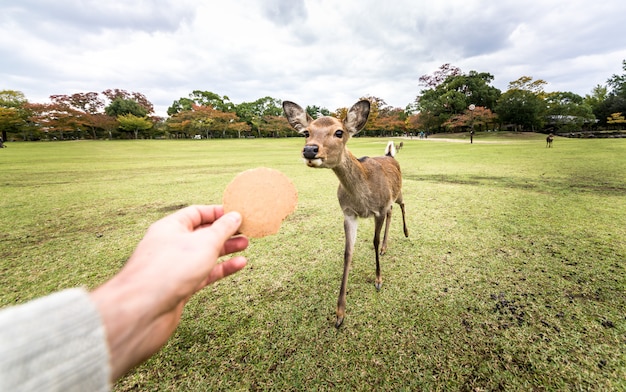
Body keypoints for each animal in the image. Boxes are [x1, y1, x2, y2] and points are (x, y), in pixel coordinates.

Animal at [280, 99, 408, 326]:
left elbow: (373, 241)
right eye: (306, 132)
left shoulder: (378, 209)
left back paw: (406, 233)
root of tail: (390, 155)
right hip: (390, 200)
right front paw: (340, 313)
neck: (362, 197)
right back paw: (386, 248)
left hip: (398, 192)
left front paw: (378, 280)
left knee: (402, 204)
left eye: (339, 132)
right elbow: (348, 252)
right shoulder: (348, 213)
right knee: (392, 211)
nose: (310, 150)